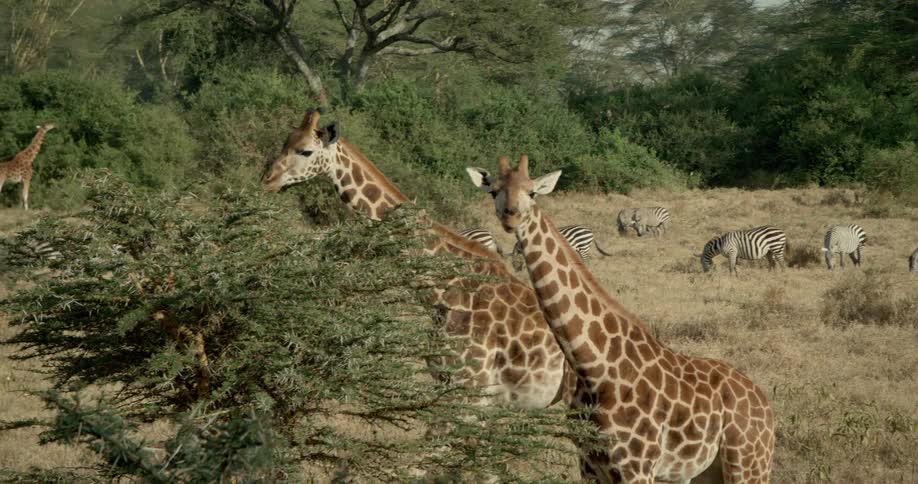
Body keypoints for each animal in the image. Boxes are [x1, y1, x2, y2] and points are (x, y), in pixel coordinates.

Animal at [262, 109, 573, 409]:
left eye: (305, 151)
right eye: (285, 143)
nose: (267, 181)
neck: (441, 291)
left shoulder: (470, 388)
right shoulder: (449, 383)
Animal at [467, 155, 775, 483]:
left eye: (532, 192)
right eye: (493, 191)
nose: (511, 217)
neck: (593, 366)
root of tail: (766, 405)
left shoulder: (636, 465)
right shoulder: (589, 463)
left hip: (748, 464)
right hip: (707, 472)